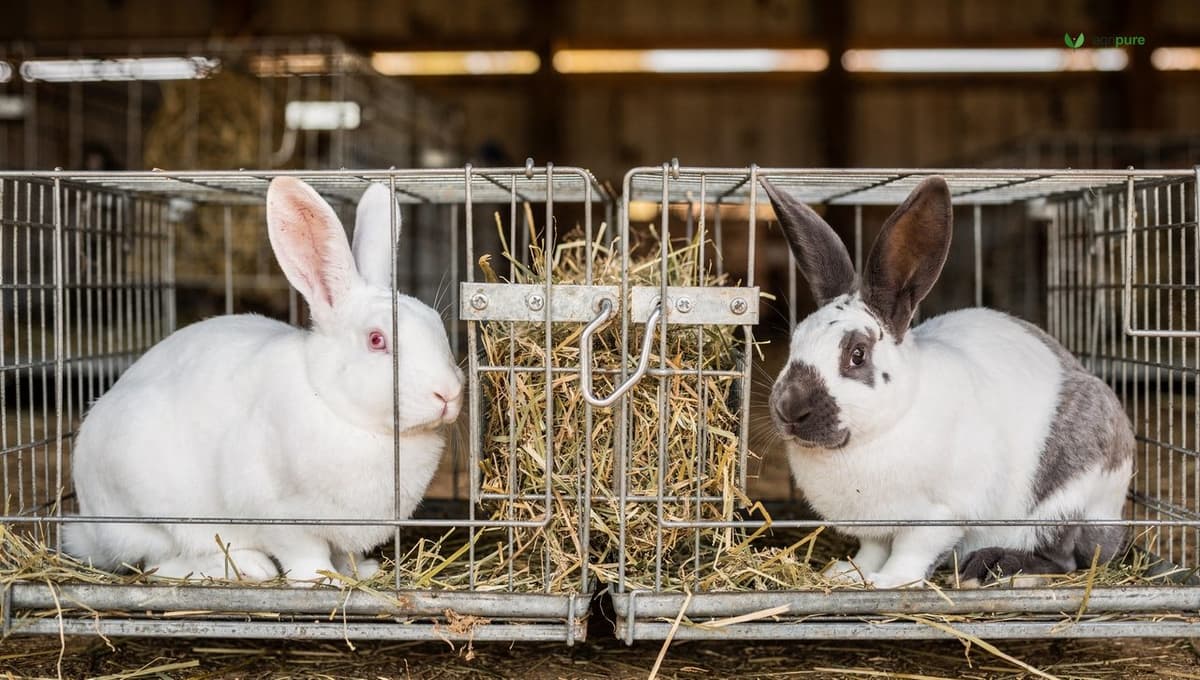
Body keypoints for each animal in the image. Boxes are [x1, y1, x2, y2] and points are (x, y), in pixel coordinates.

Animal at [62, 178, 464, 583]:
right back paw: (248, 567)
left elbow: (342, 553)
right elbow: (306, 554)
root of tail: (90, 526)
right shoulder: (281, 517)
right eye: (376, 340)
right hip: (155, 513)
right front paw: (321, 578)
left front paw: (359, 571)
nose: (448, 394)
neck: (335, 407)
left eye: (437, 325)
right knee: (161, 563)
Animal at [763, 175, 1134, 589]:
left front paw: (887, 582)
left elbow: (910, 552)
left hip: (1065, 503)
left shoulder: (940, 515)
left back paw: (993, 567)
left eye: (857, 354)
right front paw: (848, 573)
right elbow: (871, 549)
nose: (789, 408)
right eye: (795, 341)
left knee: (1065, 557)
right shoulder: (874, 526)